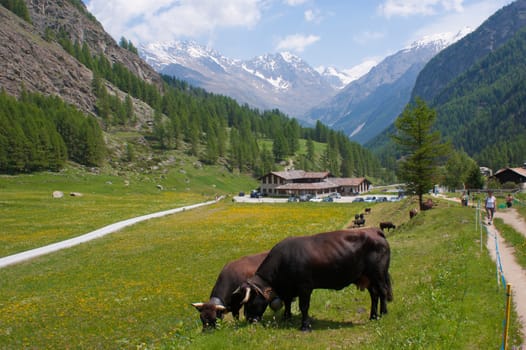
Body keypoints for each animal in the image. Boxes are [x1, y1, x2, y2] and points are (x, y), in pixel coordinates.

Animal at [238, 227, 392, 330]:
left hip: (378, 274)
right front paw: (287, 317)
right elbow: (287, 302)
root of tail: (374, 230)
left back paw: (383, 313)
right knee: (374, 294)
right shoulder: (289, 288)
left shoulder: (304, 287)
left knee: (382, 291)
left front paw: (305, 326)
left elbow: (304, 306)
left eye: (250, 302)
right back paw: (373, 316)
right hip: (367, 277)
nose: (249, 320)